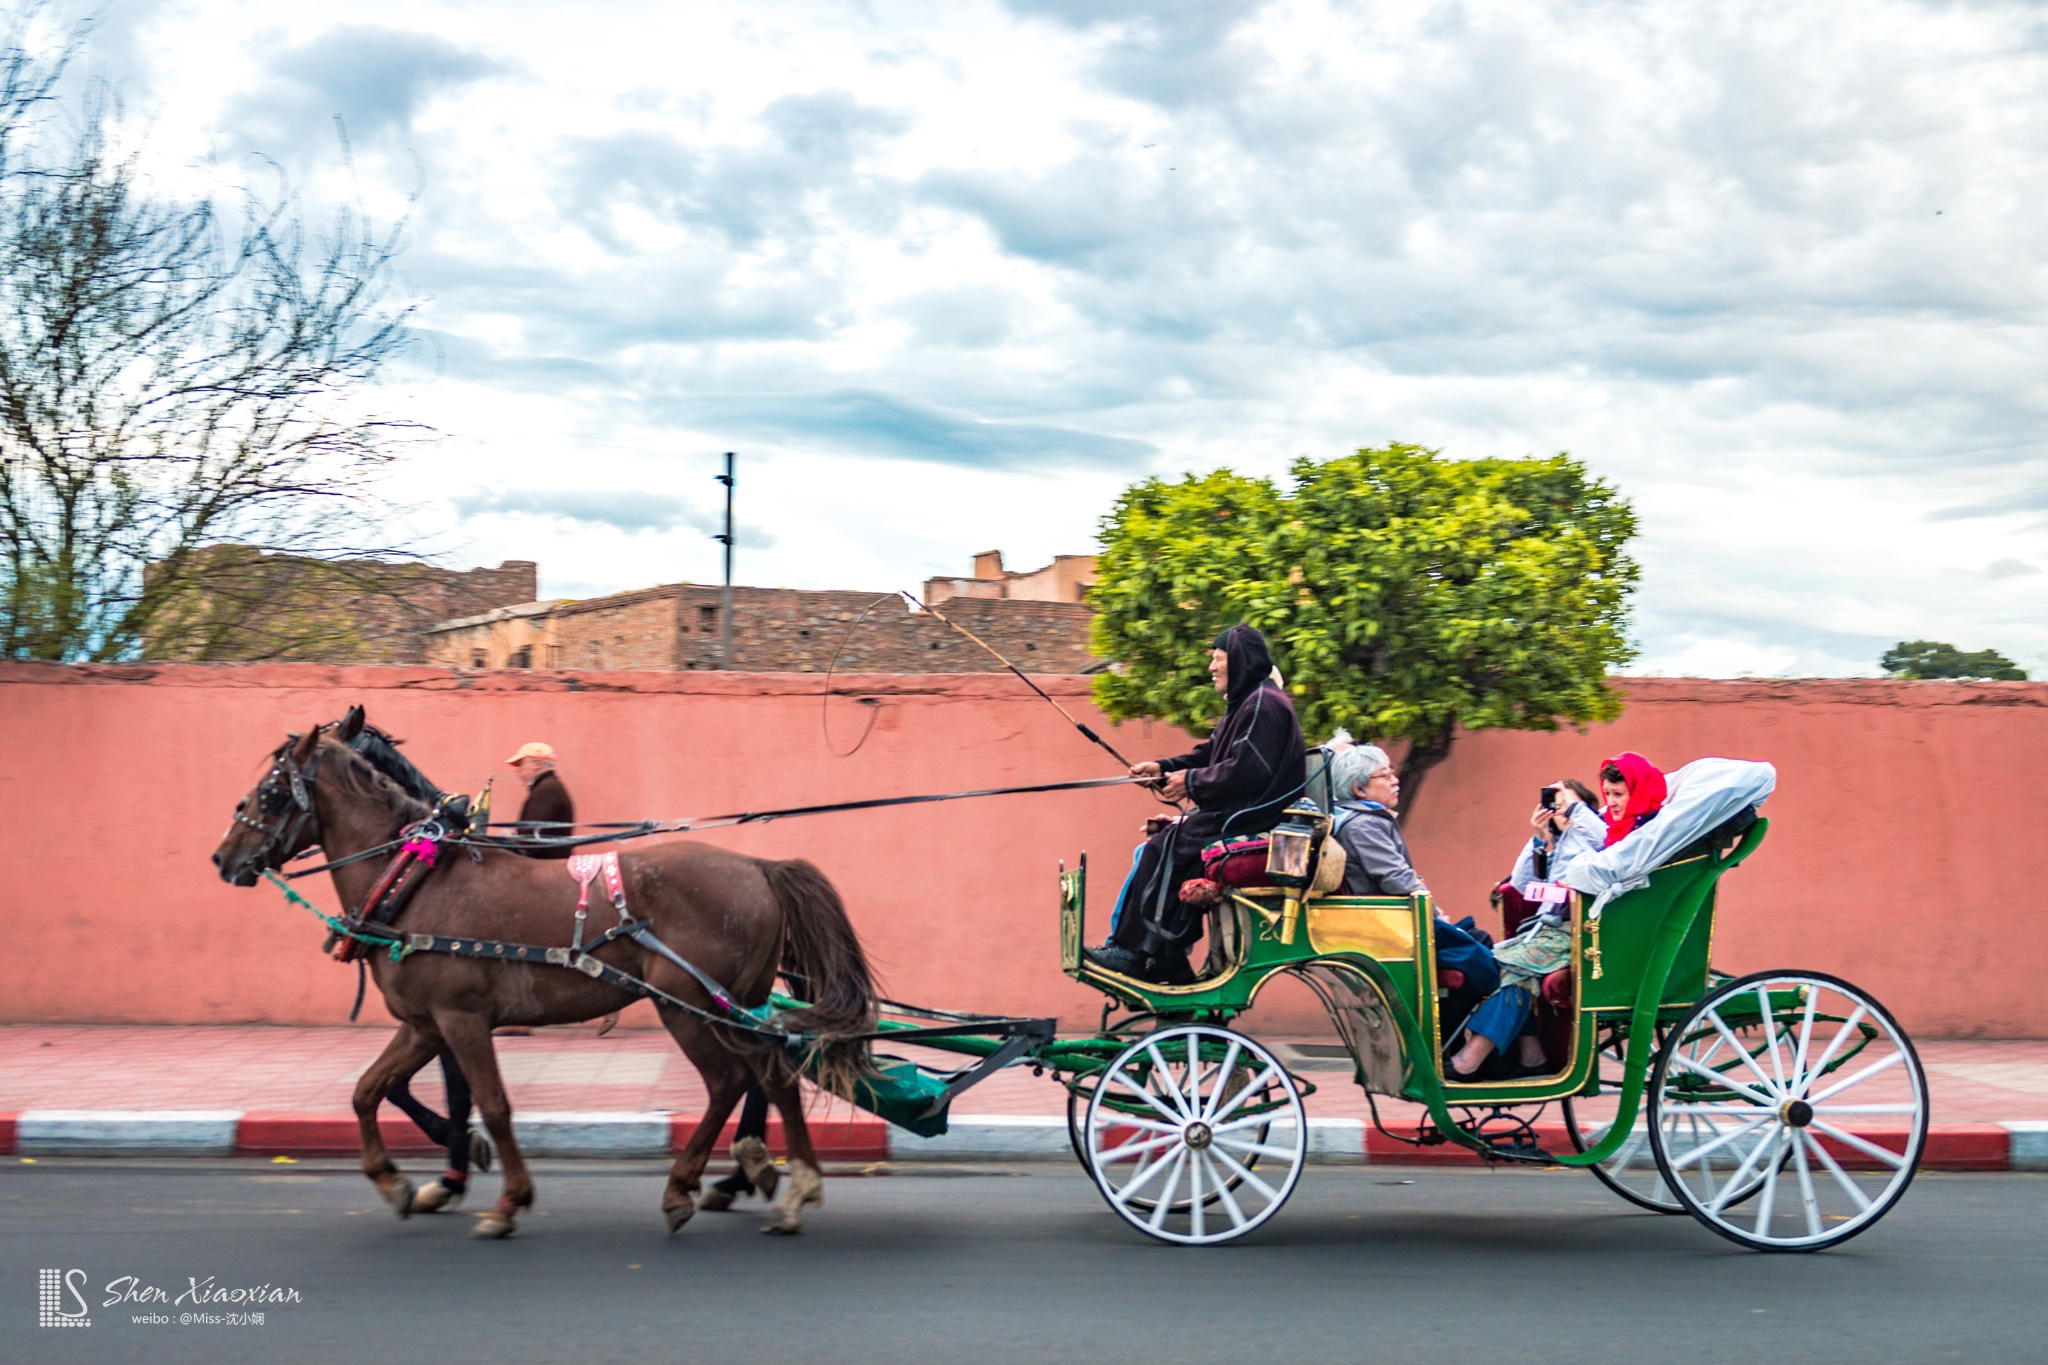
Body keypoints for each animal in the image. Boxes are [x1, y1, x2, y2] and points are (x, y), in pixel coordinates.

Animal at [207, 712, 872, 1244]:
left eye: (271, 792)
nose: (224, 857)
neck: (415, 880)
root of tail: (760, 867)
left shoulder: (461, 1019)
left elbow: (492, 1105)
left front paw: (506, 1201)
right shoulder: (426, 1024)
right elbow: (370, 1092)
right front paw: (398, 1184)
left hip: (687, 1005)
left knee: (729, 1081)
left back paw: (689, 1188)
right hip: (735, 1003)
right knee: (774, 1075)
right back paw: (789, 1188)